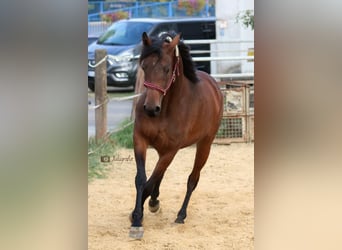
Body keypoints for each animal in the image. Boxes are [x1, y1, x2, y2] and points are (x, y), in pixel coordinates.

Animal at [130, 31, 223, 238]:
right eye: (144, 66)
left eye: (166, 69)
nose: (150, 109)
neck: (165, 109)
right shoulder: (140, 140)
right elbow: (142, 179)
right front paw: (138, 215)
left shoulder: (171, 151)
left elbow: (149, 183)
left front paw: (137, 218)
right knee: (160, 175)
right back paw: (154, 202)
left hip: (205, 145)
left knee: (192, 179)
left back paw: (181, 215)